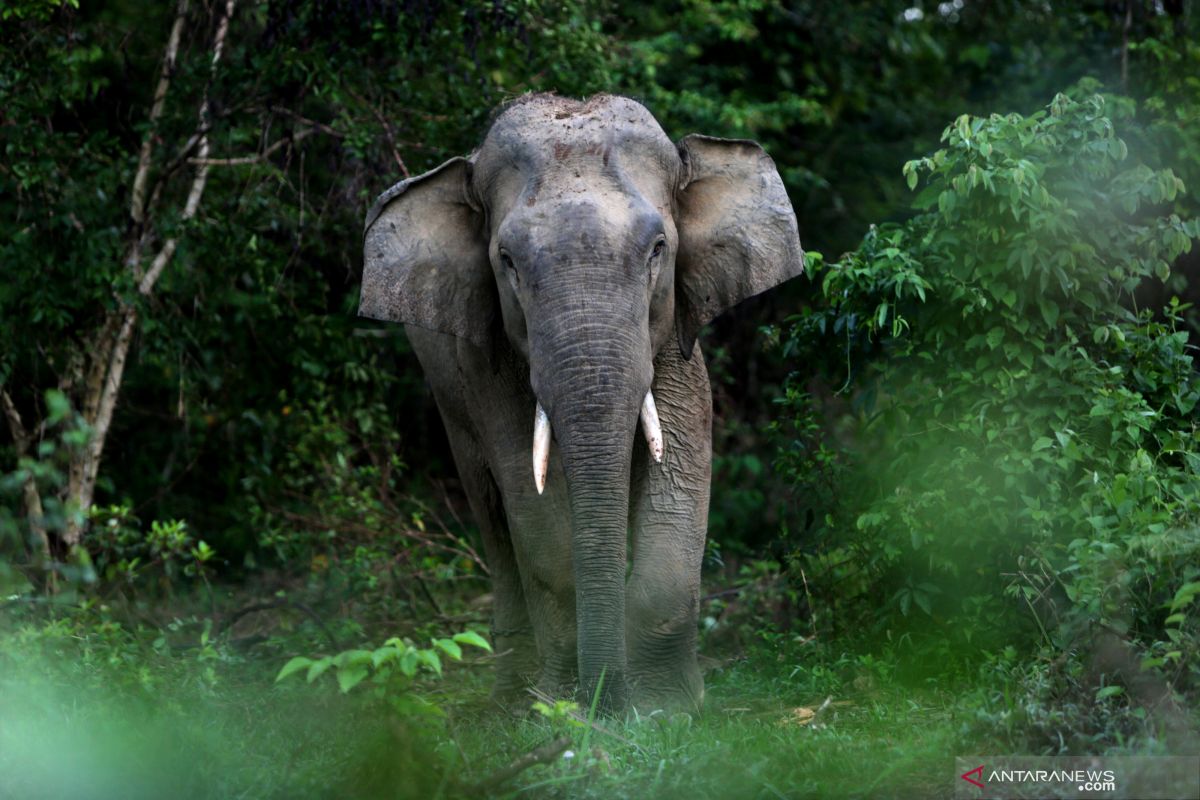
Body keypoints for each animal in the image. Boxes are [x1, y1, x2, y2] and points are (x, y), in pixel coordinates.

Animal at [357, 94, 806, 714]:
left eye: (659, 248)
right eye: (507, 260)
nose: (610, 708)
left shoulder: (676, 340)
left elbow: (681, 474)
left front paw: (665, 707)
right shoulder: (489, 364)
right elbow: (535, 510)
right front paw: (565, 708)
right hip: (448, 395)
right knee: (490, 510)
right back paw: (511, 700)